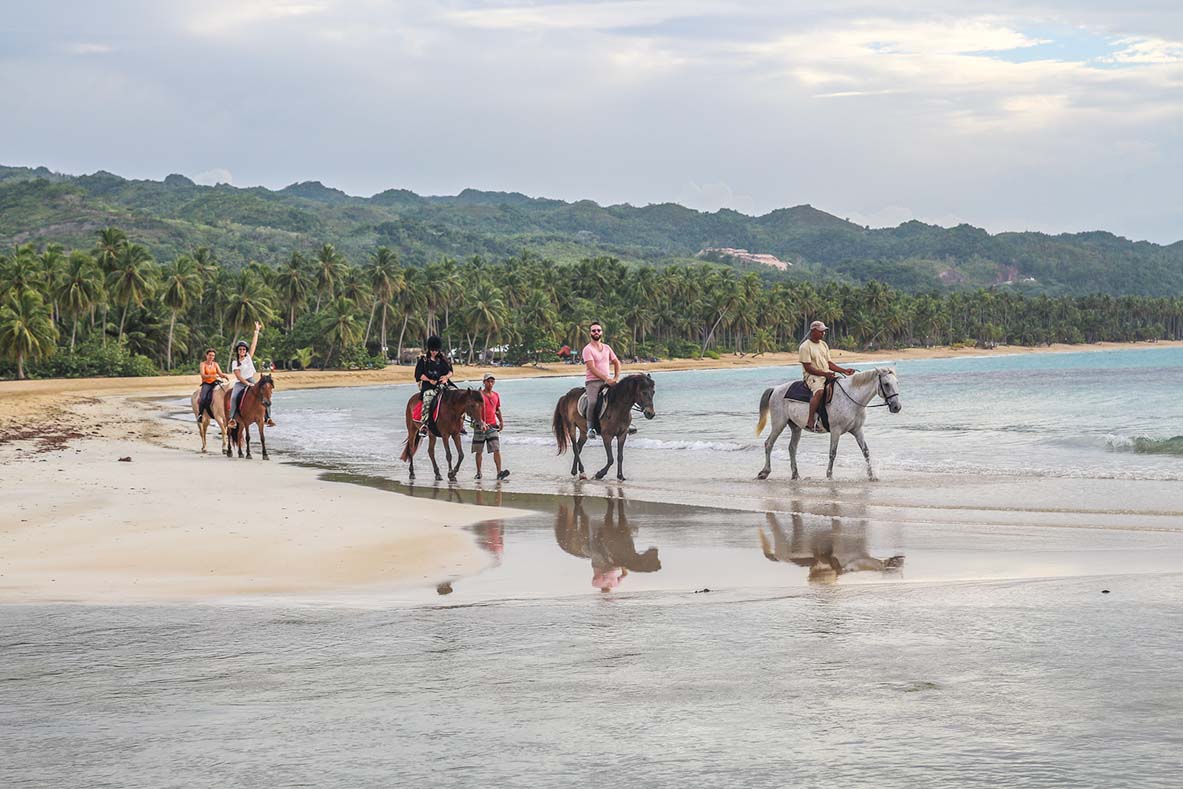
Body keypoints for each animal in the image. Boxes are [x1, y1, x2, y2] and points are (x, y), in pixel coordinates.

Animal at [752, 369, 899, 482]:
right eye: (886, 384)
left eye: (897, 383)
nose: (897, 407)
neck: (852, 398)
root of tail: (776, 389)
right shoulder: (835, 431)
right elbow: (832, 453)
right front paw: (829, 476)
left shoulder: (857, 430)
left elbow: (866, 452)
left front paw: (871, 476)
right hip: (779, 424)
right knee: (769, 443)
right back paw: (764, 472)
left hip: (796, 427)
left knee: (792, 448)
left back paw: (795, 475)